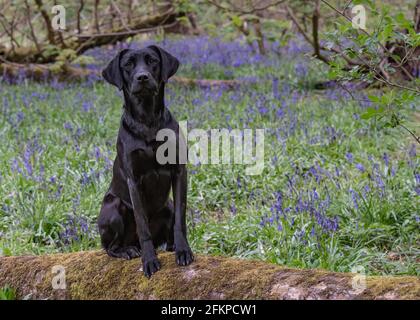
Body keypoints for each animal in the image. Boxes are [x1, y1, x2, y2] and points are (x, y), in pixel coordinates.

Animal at [97, 45, 193, 278]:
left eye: (152, 61)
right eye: (128, 64)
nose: (142, 77)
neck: (147, 120)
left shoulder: (179, 172)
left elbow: (180, 219)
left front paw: (183, 250)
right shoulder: (134, 180)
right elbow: (142, 225)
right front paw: (149, 260)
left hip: (167, 206)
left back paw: (170, 246)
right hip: (112, 207)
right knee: (109, 247)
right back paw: (127, 250)